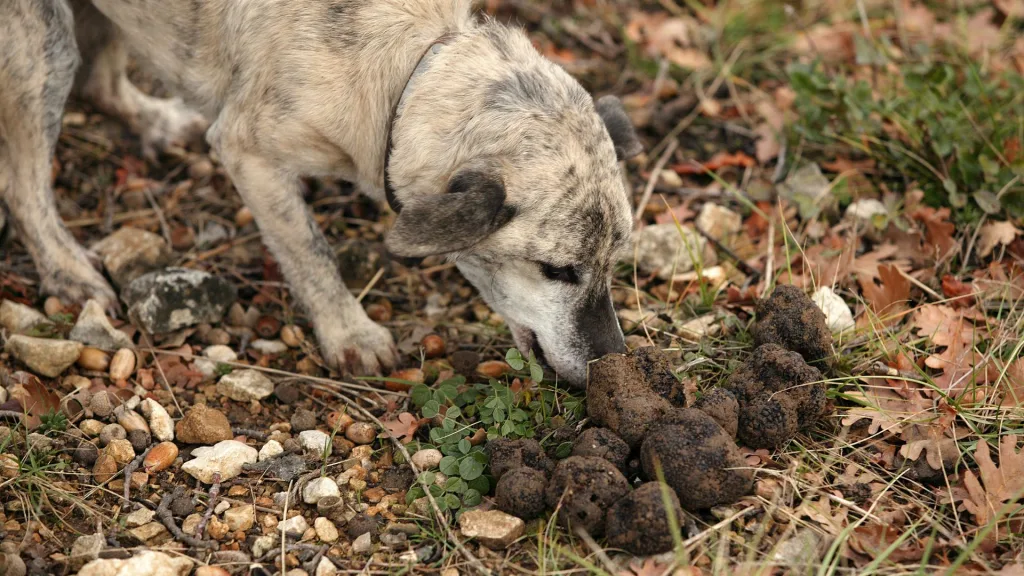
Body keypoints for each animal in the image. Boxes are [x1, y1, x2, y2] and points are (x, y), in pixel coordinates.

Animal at [0, 0, 638, 387]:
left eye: (614, 264)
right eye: (557, 271)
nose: (614, 362)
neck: (408, 73)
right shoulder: (249, 152)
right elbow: (311, 253)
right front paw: (349, 332)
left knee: (102, 84)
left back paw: (157, 121)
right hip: (42, 47)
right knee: (24, 183)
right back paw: (66, 271)